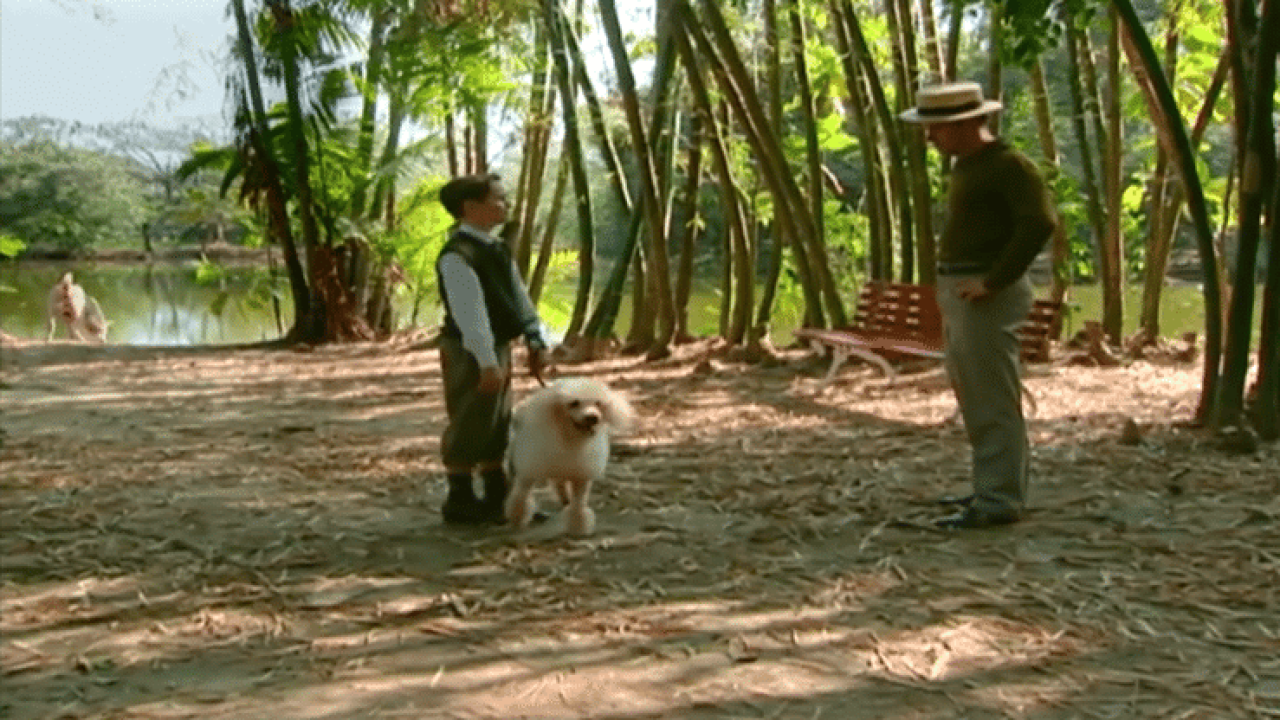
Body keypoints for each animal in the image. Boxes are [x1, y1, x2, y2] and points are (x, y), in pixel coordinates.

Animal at [504, 376, 634, 532]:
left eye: (598, 403)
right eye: (574, 403)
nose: (593, 417)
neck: (570, 440)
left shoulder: (581, 478)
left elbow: (578, 505)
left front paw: (578, 528)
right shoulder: (528, 474)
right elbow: (520, 498)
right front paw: (517, 521)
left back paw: (565, 500)